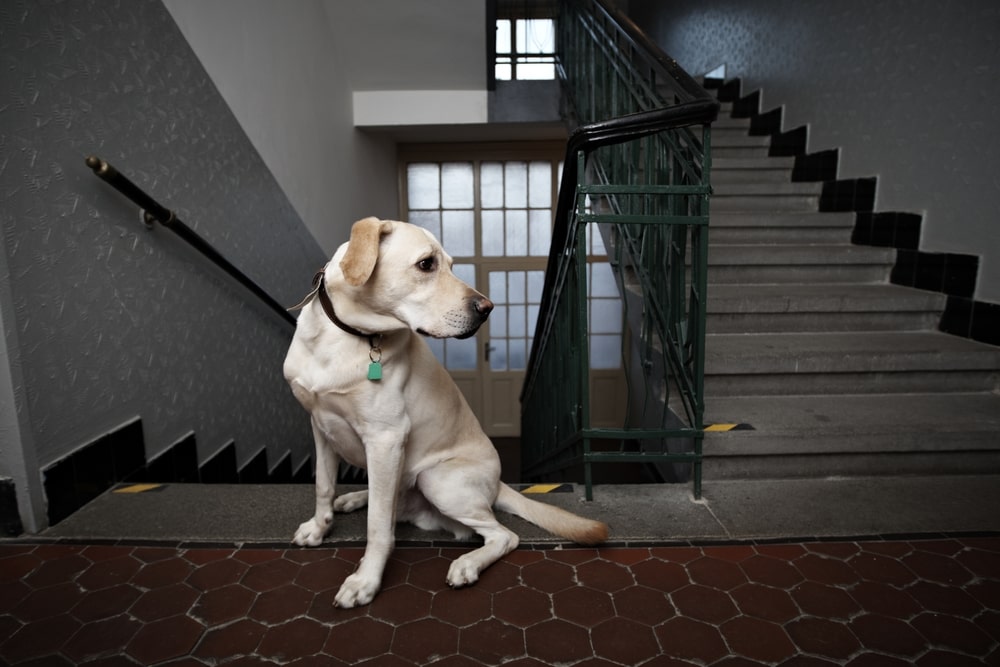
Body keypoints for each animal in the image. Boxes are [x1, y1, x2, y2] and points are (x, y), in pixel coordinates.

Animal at [286, 218, 604, 604]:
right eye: (426, 264)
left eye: (451, 265)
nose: (487, 308)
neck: (346, 336)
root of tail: (498, 483)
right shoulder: (320, 426)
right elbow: (323, 486)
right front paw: (319, 527)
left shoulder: (385, 439)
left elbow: (377, 526)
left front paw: (366, 580)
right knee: (389, 501)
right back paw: (354, 498)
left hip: (436, 479)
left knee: (502, 535)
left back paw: (468, 564)